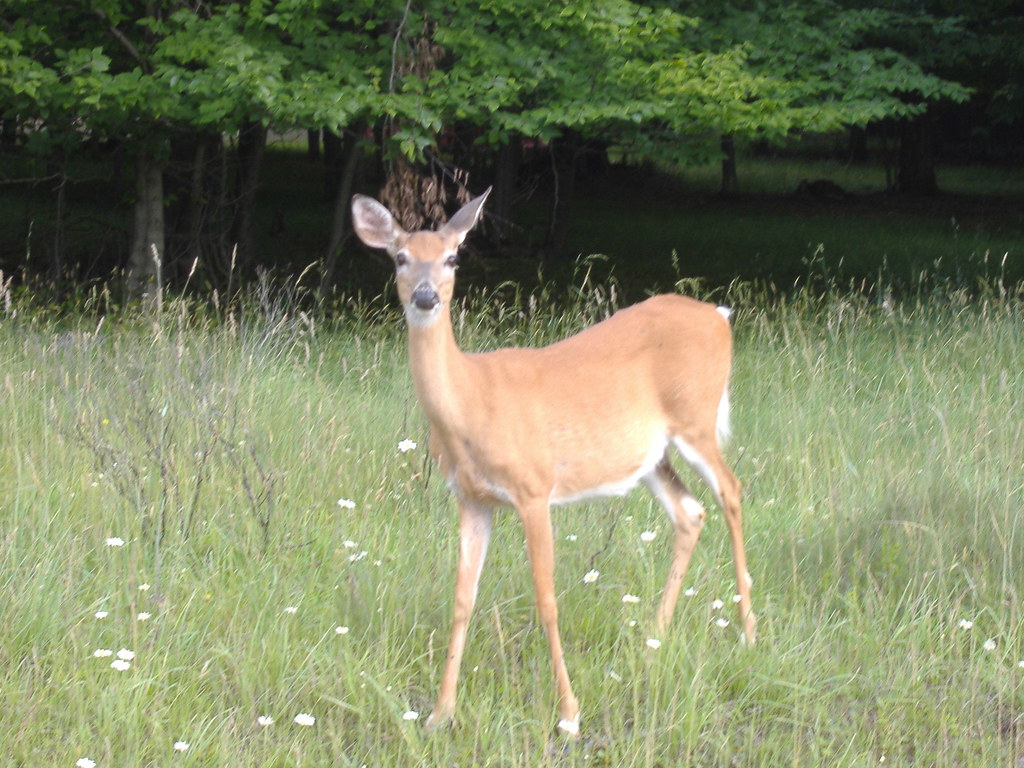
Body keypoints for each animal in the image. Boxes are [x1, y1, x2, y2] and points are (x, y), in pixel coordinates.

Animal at [350, 188, 755, 737]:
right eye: (399, 258)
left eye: (453, 257)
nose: (426, 297)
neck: (471, 404)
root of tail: (719, 314)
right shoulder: (471, 499)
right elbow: (461, 600)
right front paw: (440, 713)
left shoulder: (533, 488)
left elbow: (547, 601)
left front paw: (568, 714)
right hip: (651, 454)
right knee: (690, 512)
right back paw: (652, 641)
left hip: (696, 418)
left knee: (731, 490)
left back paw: (748, 634)